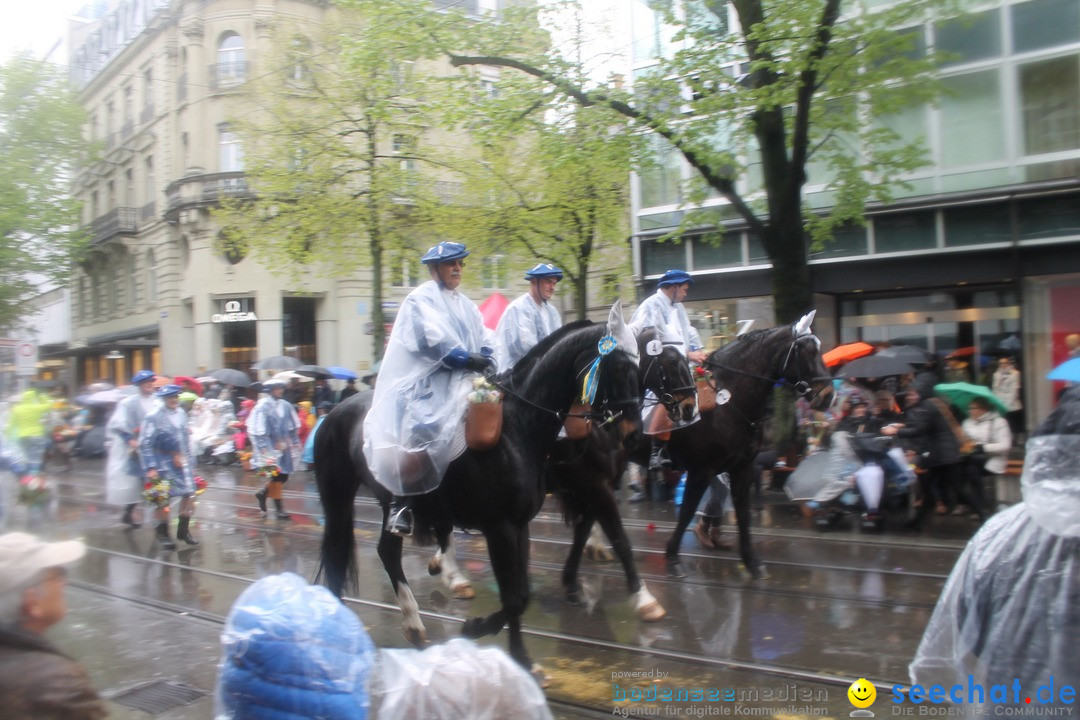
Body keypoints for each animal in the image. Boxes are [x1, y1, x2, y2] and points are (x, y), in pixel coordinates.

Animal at [315, 302, 643, 677]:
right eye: (619, 367)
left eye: (640, 367)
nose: (634, 434)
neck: (518, 428)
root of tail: (334, 411)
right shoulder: (500, 528)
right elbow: (514, 597)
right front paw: (478, 629)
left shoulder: (521, 525)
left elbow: (521, 594)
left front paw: (521, 658)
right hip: (339, 499)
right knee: (342, 554)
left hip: (385, 503)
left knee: (388, 552)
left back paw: (414, 624)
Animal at [652, 313, 829, 578]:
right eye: (807, 350)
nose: (829, 396)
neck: (726, 401)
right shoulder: (700, 471)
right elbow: (687, 511)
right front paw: (672, 556)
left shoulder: (740, 468)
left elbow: (742, 512)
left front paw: (751, 562)